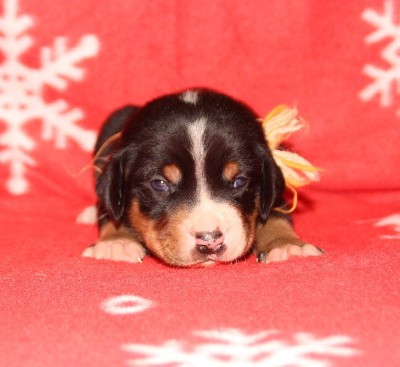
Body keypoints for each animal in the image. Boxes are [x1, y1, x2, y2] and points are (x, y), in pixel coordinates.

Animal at [83, 89, 324, 268]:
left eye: (238, 182)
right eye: (159, 184)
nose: (209, 241)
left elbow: (276, 213)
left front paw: (287, 244)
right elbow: (111, 211)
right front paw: (116, 242)